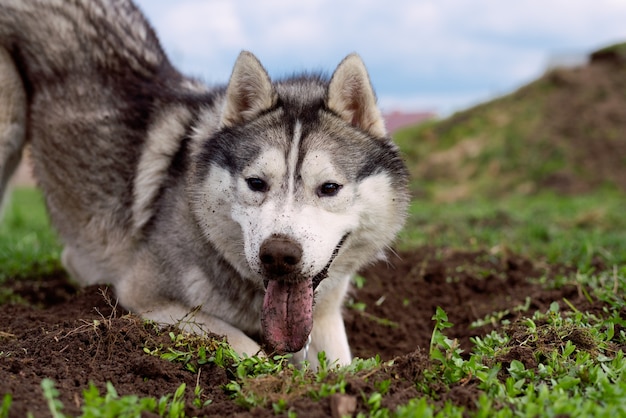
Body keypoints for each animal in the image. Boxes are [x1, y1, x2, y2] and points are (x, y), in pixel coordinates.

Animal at [0, 0, 408, 368]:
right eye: (256, 183)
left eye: (329, 188)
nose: (278, 255)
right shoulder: (144, 297)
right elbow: (249, 349)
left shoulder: (324, 318)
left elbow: (341, 370)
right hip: (9, 133)